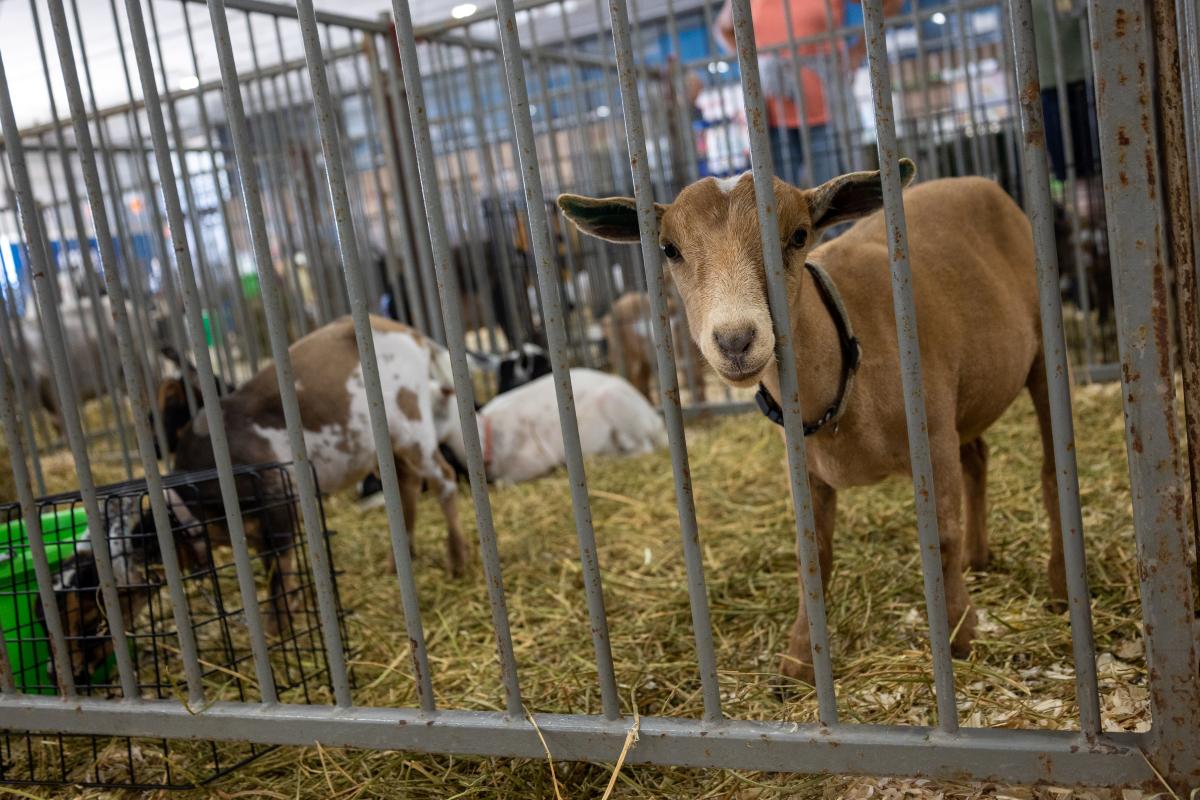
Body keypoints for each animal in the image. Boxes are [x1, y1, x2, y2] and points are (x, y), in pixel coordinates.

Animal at [556, 160, 1065, 690]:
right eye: (668, 249)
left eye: (799, 235)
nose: (735, 340)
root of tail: (976, 181)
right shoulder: (807, 470)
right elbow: (813, 558)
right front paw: (798, 663)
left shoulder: (933, 435)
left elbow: (940, 536)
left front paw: (961, 638)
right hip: (967, 392)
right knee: (978, 457)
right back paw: (978, 558)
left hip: (1039, 356)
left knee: (1051, 472)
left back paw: (1060, 587)